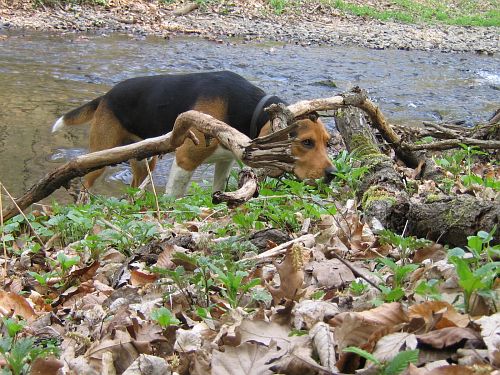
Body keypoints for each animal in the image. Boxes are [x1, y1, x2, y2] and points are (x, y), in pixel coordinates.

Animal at [52, 70, 334, 197]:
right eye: (306, 142)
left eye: (327, 143)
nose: (333, 174)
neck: (248, 110)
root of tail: (106, 96)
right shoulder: (184, 160)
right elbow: (173, 195)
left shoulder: (224, 162)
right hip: (99, 158)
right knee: (85, 186)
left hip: (144, 163)